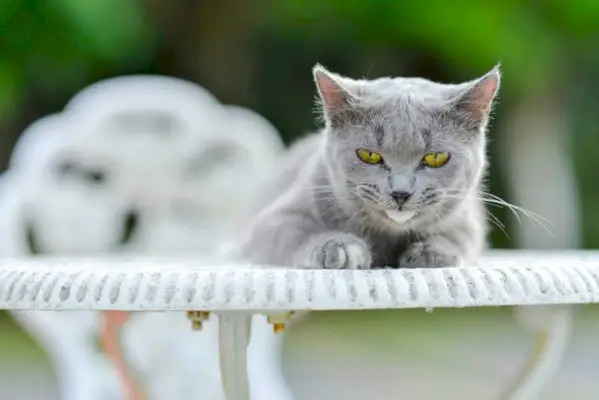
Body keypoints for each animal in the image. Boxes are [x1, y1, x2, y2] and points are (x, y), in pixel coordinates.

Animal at [239, 64, 502, 268]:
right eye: (370, 156)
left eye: (435, 158)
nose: (400, 193)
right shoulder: (271, 221)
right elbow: (296, 232)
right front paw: (340, 248)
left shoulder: (468, 219)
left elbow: (459, 237)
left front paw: (431, 253)